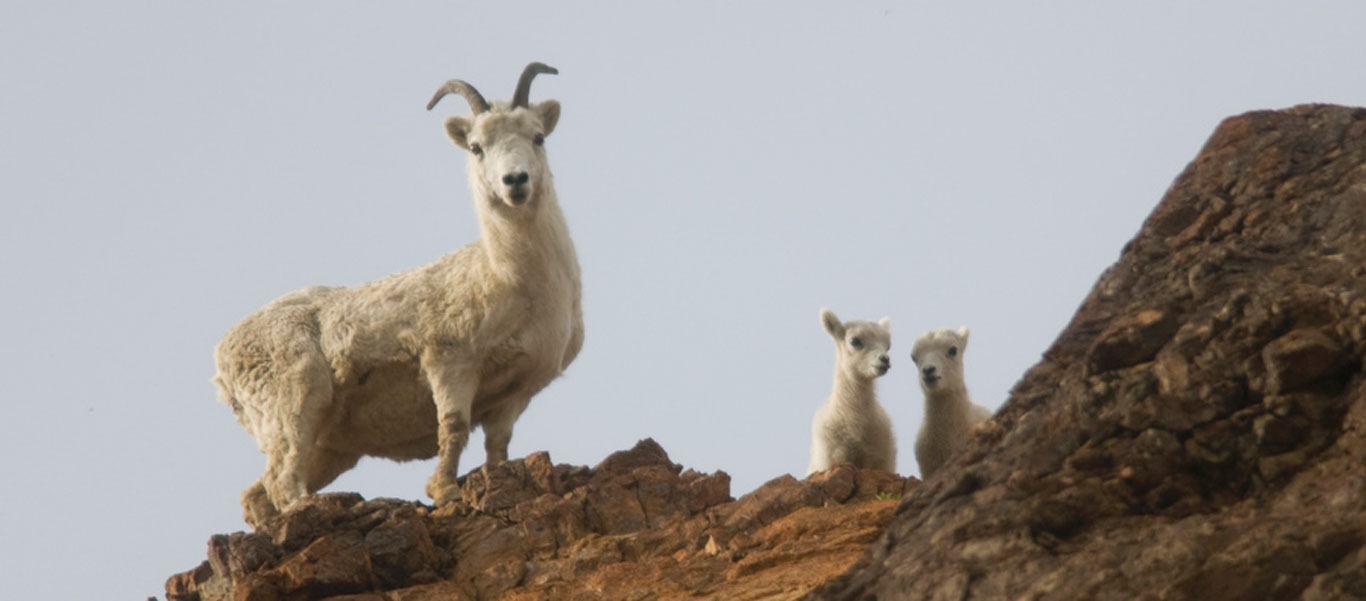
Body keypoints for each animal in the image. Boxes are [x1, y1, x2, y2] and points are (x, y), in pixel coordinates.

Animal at [213, 63, 581, 527]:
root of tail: (222, 359)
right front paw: (444, 491)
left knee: (257, 495)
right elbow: (453, 427)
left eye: (538, 137)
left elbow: (497, 448)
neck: (515, 283)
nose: (515, 182)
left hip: (327, 448)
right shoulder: (448, 361)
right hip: (294, 404)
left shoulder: (513, 395)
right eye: (476, 147)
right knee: (281, 481)